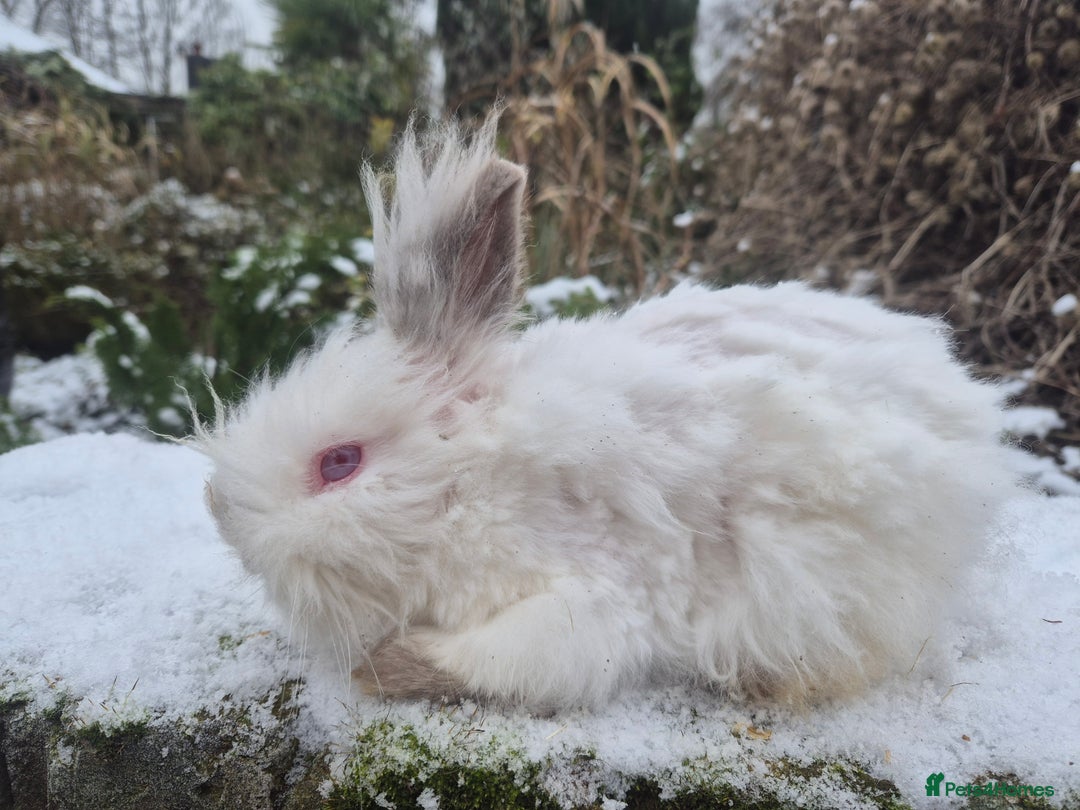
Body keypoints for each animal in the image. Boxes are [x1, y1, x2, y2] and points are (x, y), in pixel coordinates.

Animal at [197, 115, 1018, 712]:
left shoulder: (594, 600)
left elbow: (510, 661)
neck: (462, 486)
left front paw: (381, 668)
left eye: (339, 463)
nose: (221, 517)